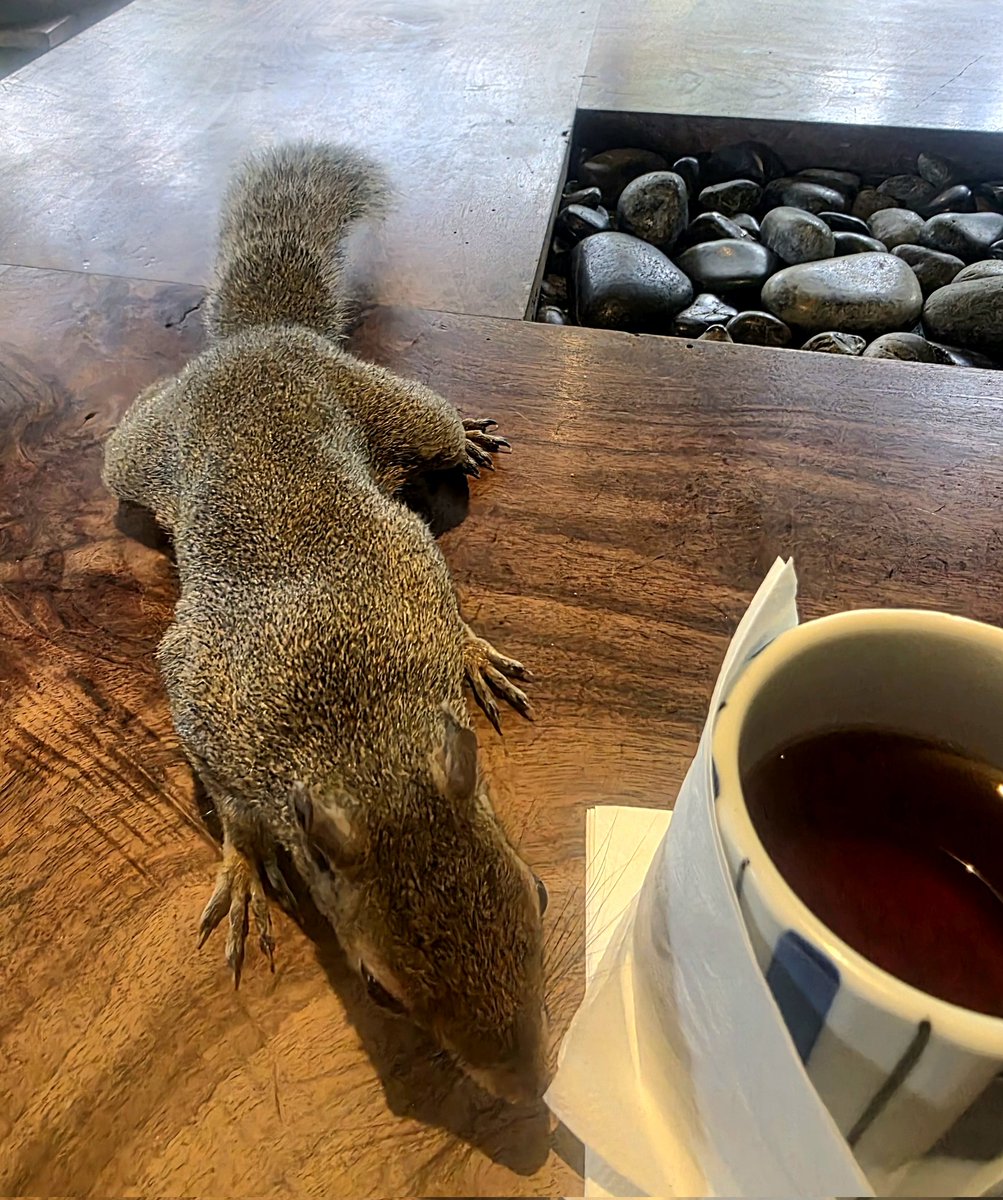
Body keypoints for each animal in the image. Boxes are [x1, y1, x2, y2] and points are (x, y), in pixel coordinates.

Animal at [102, 141, 550, 1104]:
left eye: (537, 892)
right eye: (378, 990)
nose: (526, 1090)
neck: (358, 736)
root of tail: (259, 337)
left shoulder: (402, 564)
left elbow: (439, 588)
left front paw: (473, 655)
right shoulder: (206, 707)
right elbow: (230, 805)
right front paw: (241, 868)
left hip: (395, 410)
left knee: (436, 433)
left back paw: (467, 434)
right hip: (134, 455)